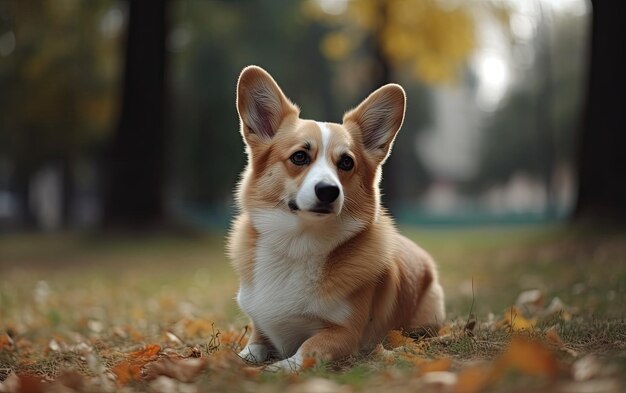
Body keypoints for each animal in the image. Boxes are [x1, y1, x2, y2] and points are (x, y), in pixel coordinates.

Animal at [228, 65, 444, 370]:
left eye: (346, 162)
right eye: (299, 157)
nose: (329, 191)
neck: (298, 244)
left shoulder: (345, 332)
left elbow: (307, 349)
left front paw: (277, 368)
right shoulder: (259, 327)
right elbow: (250, 347)